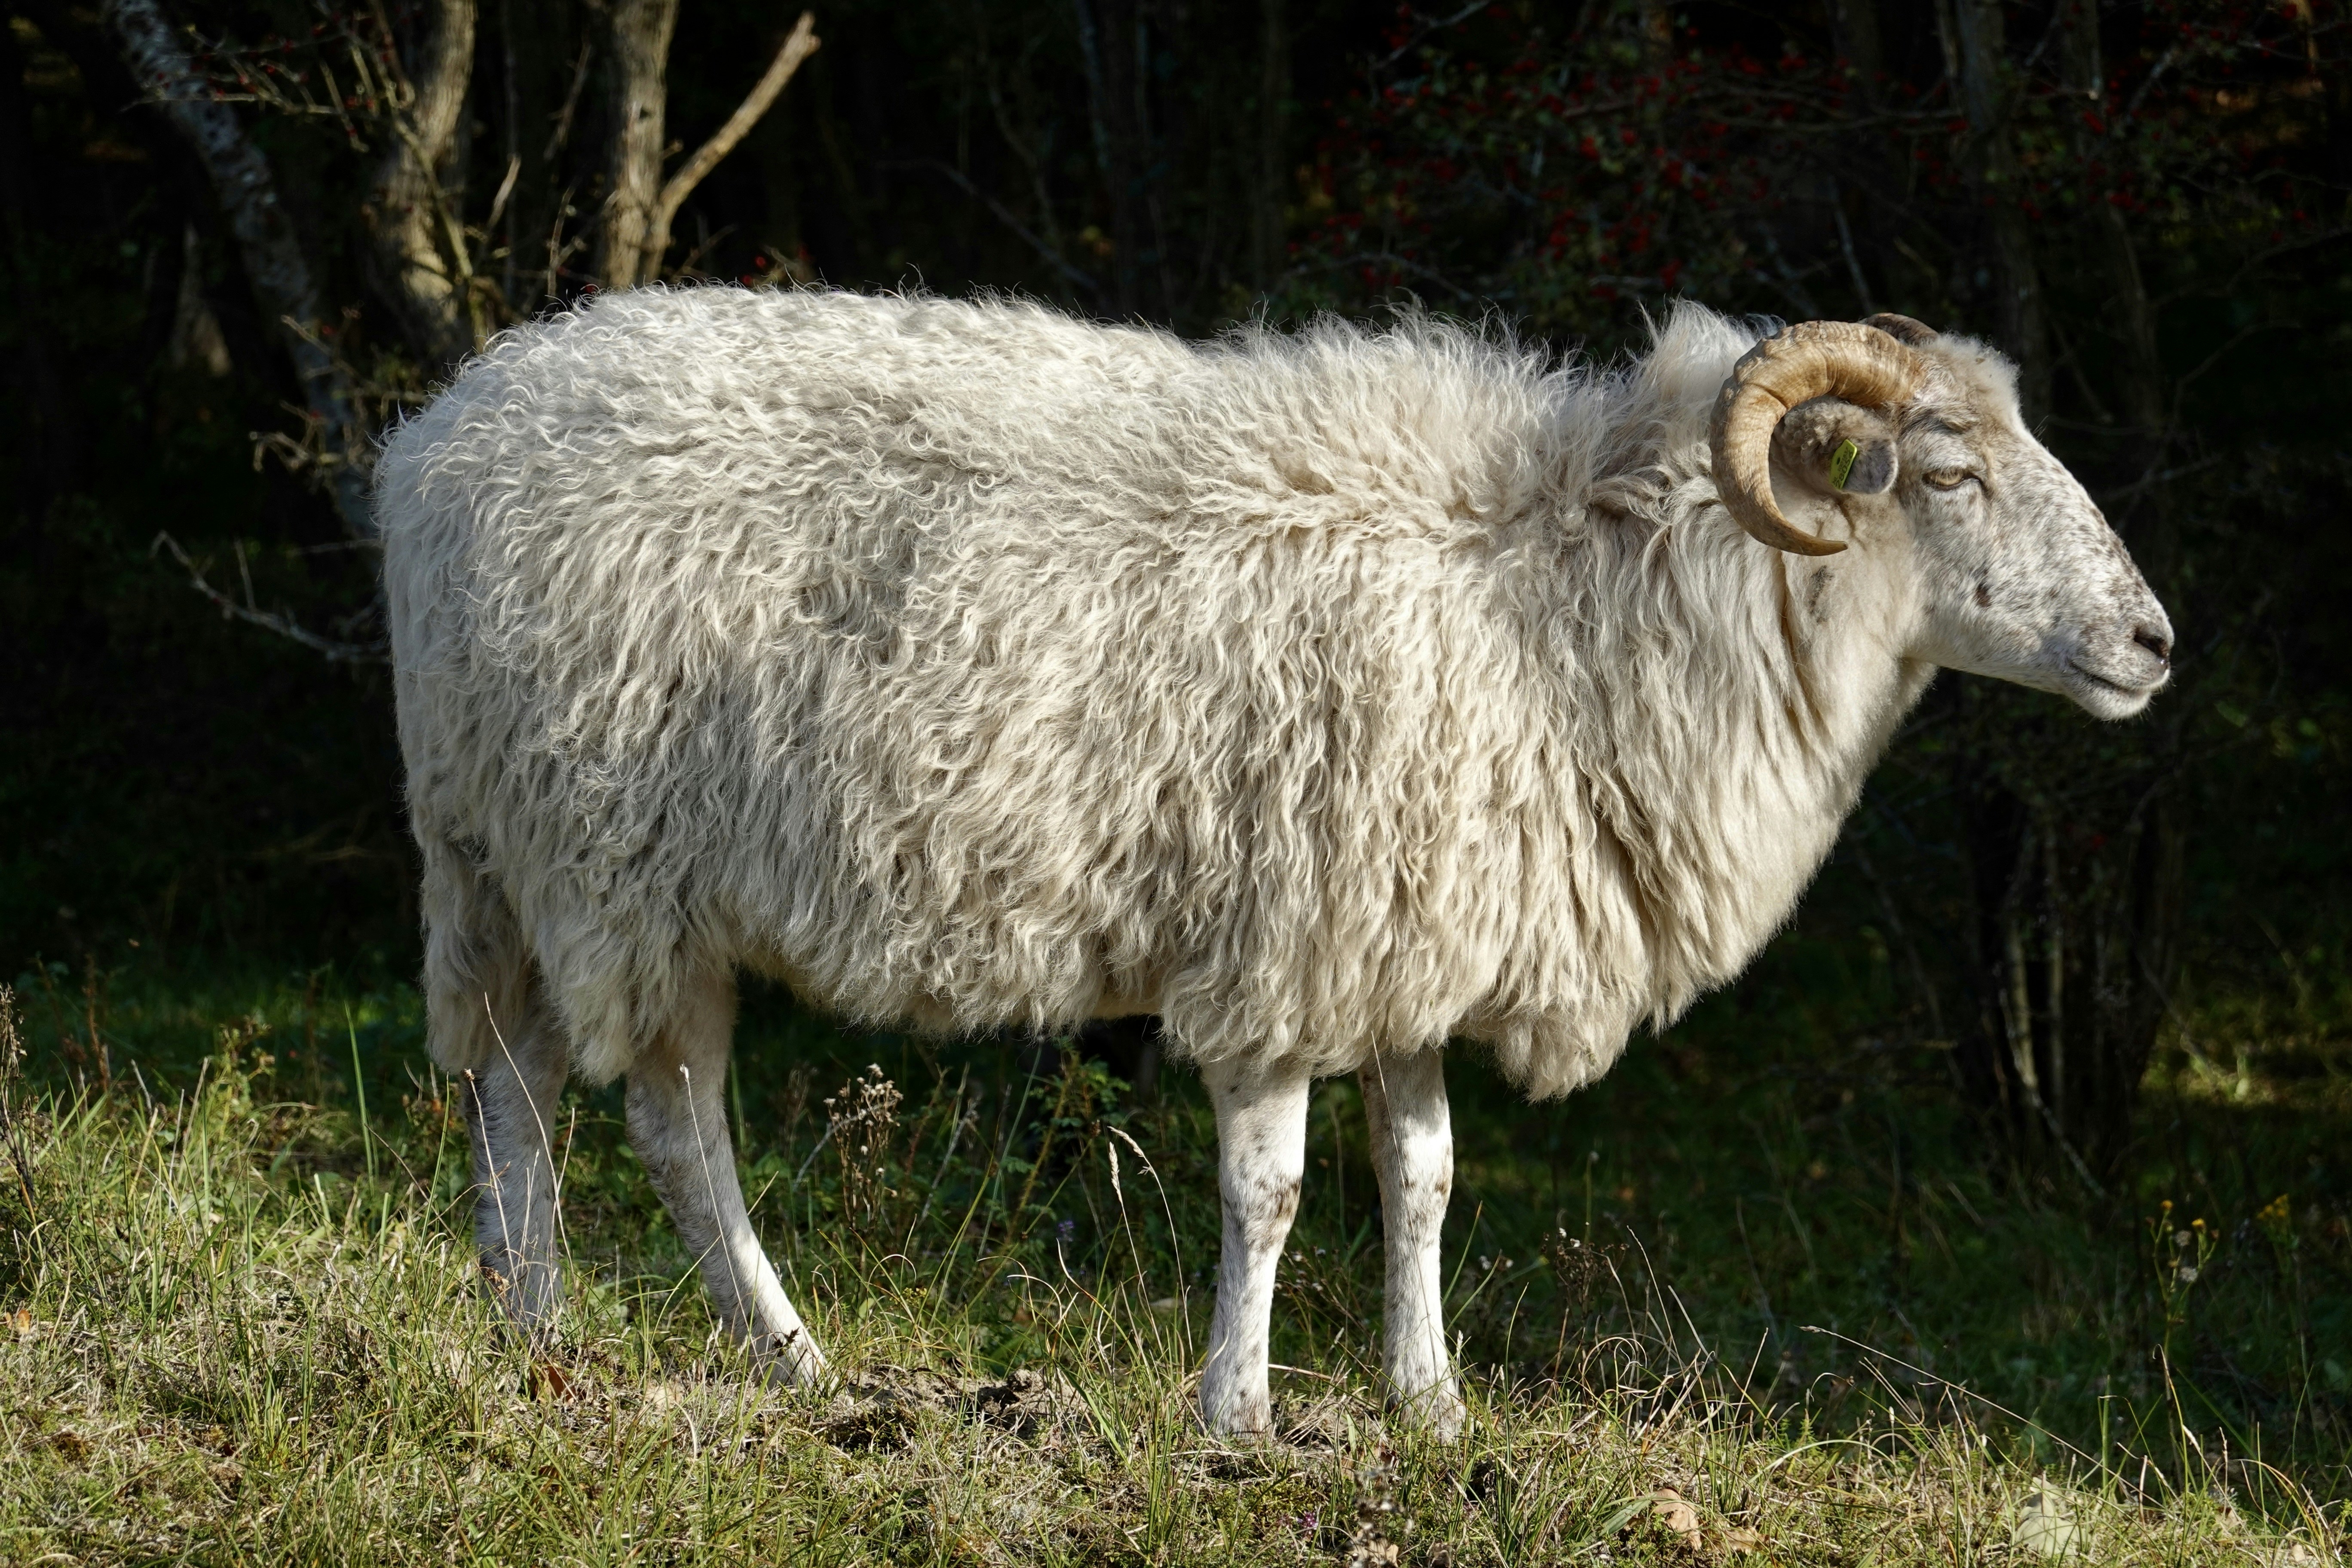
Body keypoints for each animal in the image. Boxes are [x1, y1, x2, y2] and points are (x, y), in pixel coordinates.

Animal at [376, 288, 2172, 1439]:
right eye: (1946, 472)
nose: (2155, 643)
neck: (1574, 590)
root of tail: (440, 439)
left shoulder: (1409, 934)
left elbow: (1423, 1175)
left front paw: (1429, 1400)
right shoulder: (1290, 936)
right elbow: (1274, 1185)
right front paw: (1236, 1405)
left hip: (502, 855)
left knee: (512, 1084)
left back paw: (531, 1322)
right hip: (616, 863)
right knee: (666, 1125)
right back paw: (784, 1352)